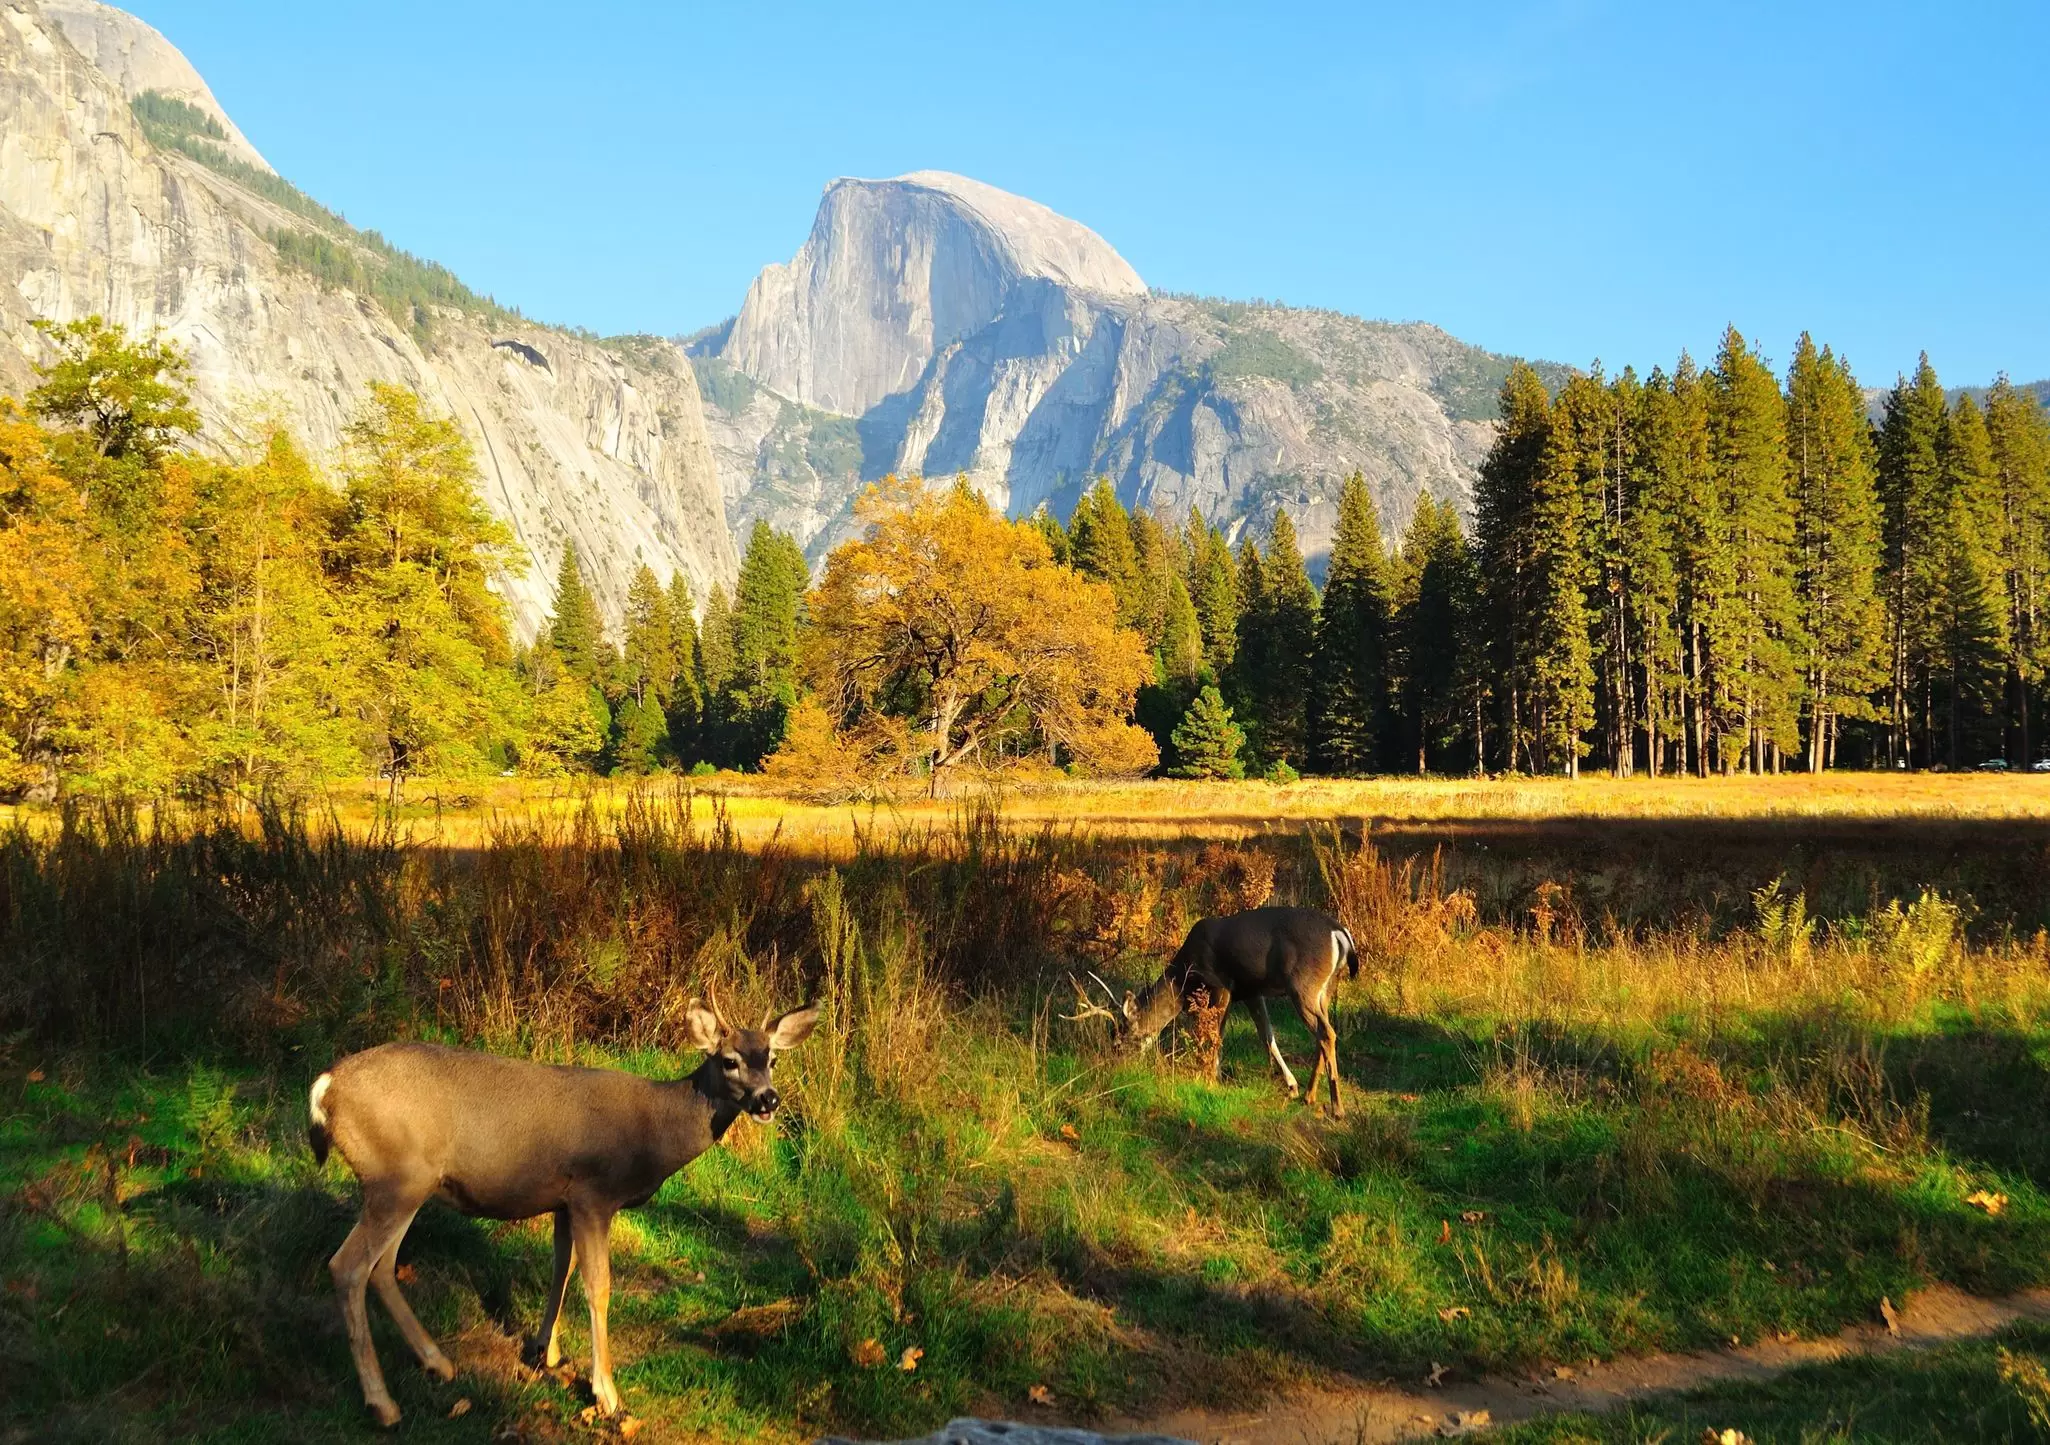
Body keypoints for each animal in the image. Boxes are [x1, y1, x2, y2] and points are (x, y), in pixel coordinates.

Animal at [306, 985, 817, 1427]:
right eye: (730, 1061)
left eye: (772, 1059)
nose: (768, 1099)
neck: (653, 1135)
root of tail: (324, 1088)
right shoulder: (595, 1193)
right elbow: (599, 1285)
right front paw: (606, 1392)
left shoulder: (564, 1200)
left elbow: (562, 1267)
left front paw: (545, 1350)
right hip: (395, 1180)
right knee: (347, 1266)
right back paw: (383, 1403)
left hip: (408, 1186)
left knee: (381, 1267)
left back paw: (438, 1363)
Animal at [1069, 905, 1357, 1117]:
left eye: (1119, 1042)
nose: (1115, 1068)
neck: (1183, 978)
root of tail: (1339, 933)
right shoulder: (1251, 992)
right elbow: (1267, 1036)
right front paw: (1290, 1085)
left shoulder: (1221, 985)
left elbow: (1216, 1035)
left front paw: (1209, 1077)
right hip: (1325, 989)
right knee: (1322, 1033)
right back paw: (1309, 1096)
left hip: (1303, 985)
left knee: (1327, 1033)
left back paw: (1336, 1108)